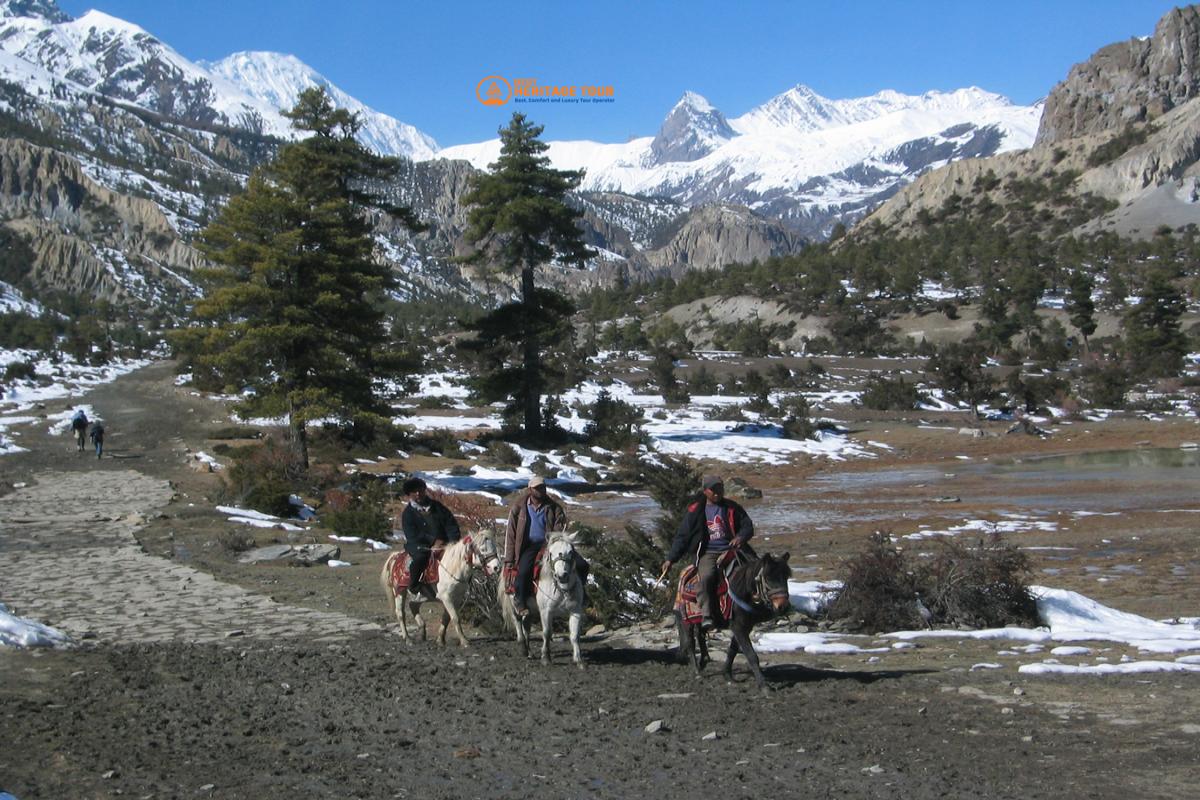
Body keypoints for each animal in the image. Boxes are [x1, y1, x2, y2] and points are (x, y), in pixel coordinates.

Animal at [499, 532, 588, 671]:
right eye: (551, 553)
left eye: (571, 551)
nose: (562, 576)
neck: (562, 588)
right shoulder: (546, 611)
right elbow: (546, 633)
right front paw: (546, 658)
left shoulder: (576, 611)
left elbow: (574, 635)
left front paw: (579, 660)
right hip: (513, 603)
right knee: (518, 623)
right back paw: (523, 649)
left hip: (530, 609)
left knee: (526, 626)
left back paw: (530, 652)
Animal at [681, 554, 792, 690]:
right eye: (768, 577)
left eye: (786, 577)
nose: (784, 607)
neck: (744, 592)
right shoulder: (738, 627)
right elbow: (751, 655)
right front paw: (764, 685)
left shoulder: (745, 627)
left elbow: (732, 651)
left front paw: (727, 675)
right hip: (686, 621)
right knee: (690, 643)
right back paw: (697, 671)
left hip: (701, 621)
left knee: (700, 635)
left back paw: (704, 661)